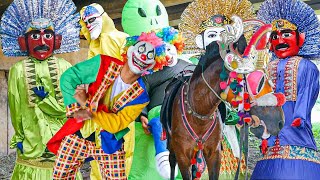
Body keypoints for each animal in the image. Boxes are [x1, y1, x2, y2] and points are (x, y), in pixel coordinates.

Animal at [162, 40, 284, 179]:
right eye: (258, 81)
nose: (280, 122)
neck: (198, 113)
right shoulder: (183, 156)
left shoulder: (214, 153)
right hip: (172, 145)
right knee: (172, 162)